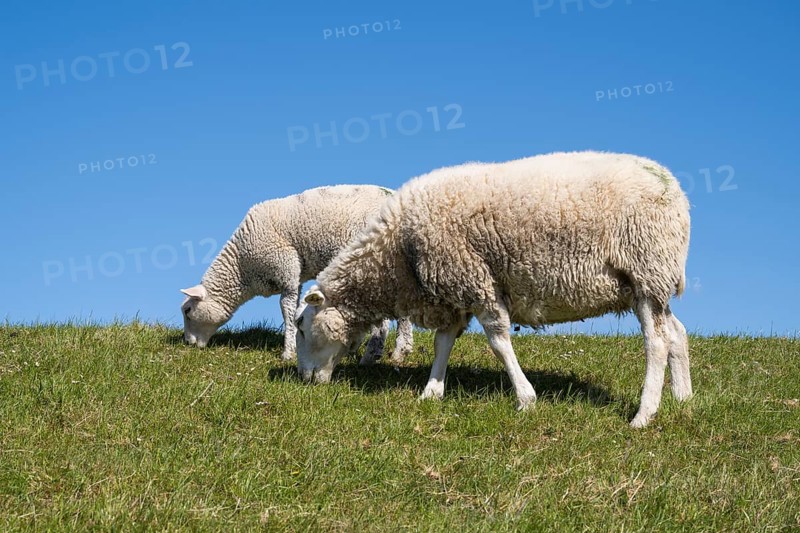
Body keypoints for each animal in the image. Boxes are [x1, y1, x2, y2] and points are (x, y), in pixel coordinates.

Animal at [180, 184, 414, 362]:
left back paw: (389, 353)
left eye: (188, 311)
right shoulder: (295, 276)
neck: (242, 267)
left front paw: (288, 352)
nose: (187, 343)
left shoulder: (285, 271)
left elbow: (287, 311)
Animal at [295, 151, 691, 428]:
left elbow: (499, 342)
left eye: (300, 328)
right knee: (676, 331)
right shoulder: (454, 291)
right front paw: (431, 392)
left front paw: (525, 398)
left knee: (657, 341)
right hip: (650, 281)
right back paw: (683, 398)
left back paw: (643, 415)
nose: (304, 380)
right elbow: (443, 342)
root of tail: (676, 192)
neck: (399, 254)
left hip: (645, 268)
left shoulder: (475, 280)